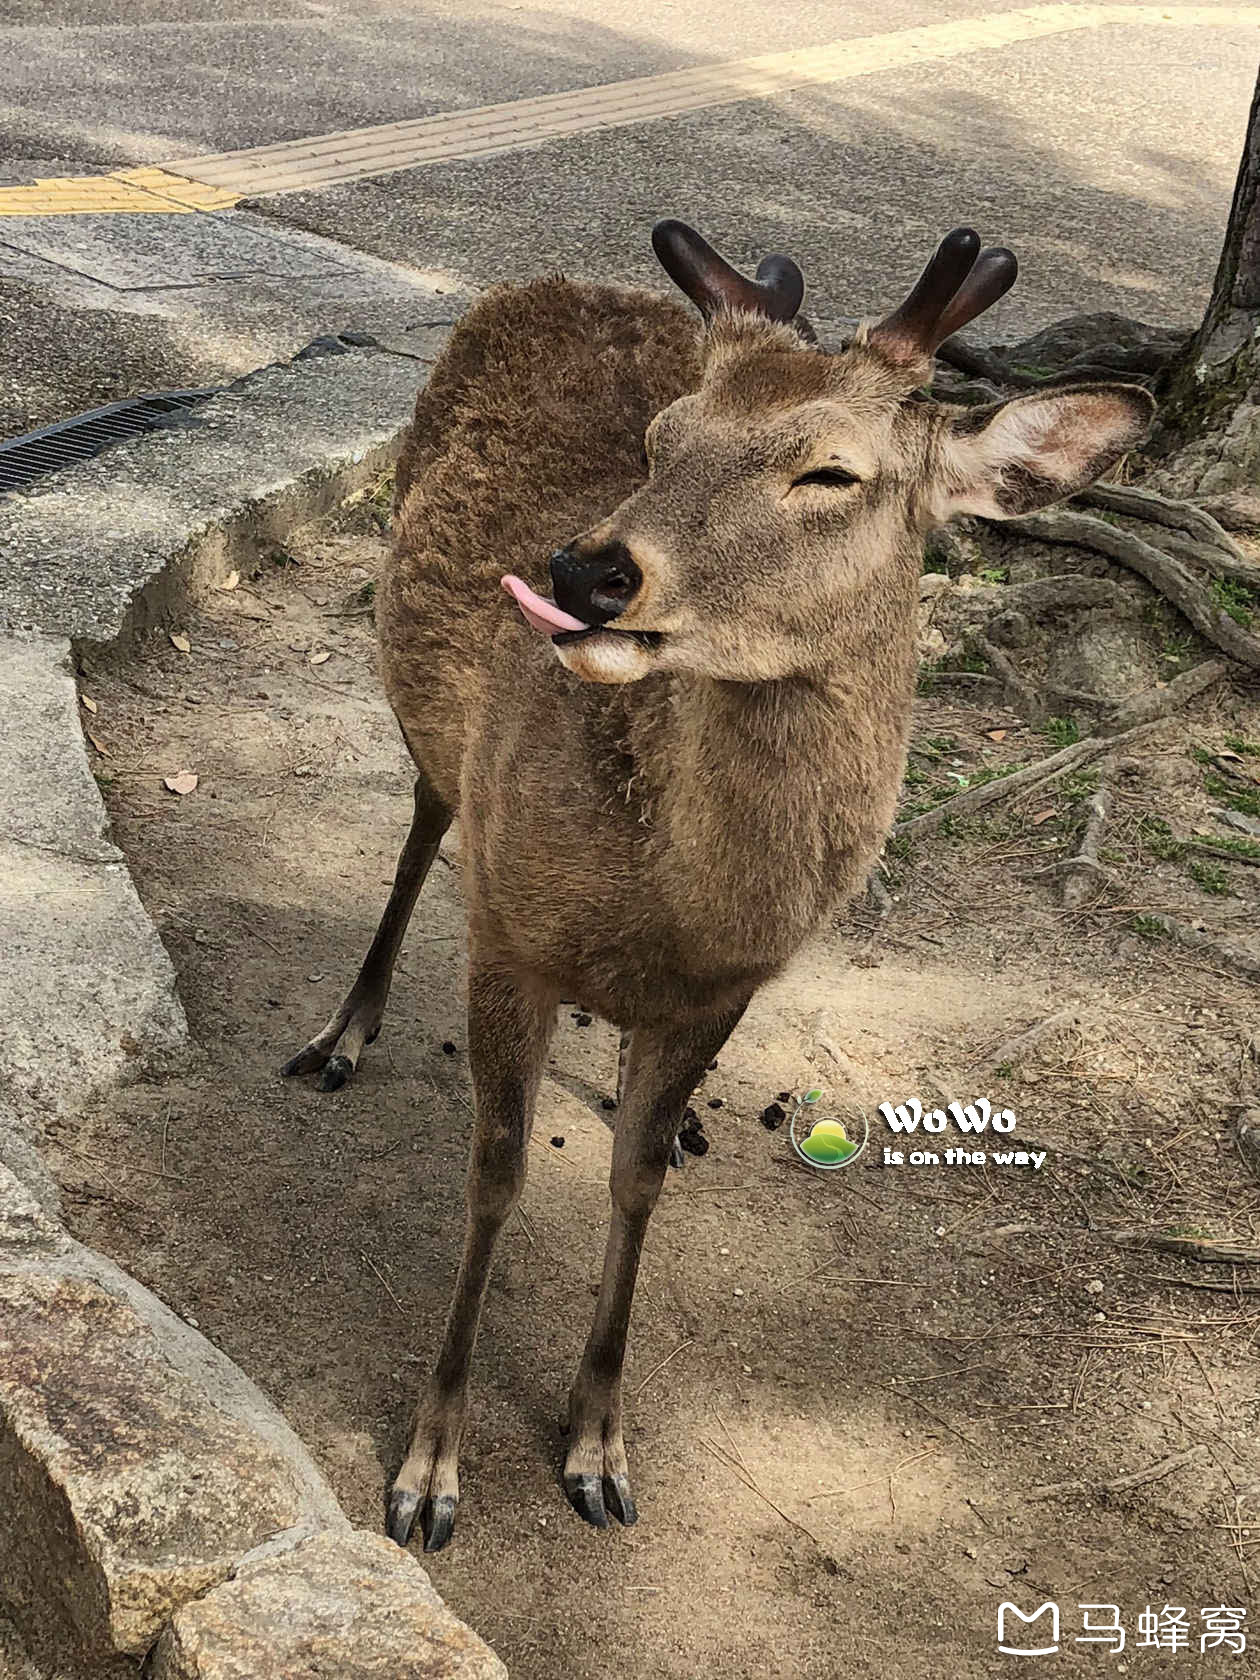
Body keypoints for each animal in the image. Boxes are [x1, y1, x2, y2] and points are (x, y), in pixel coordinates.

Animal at [283, 220, 1155, 1545]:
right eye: (660, 439)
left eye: (831, 473)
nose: (586, 572)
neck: (673, 912)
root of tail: (556, 279)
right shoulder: (511, 940)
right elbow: (494, 1174)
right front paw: (429, 1471)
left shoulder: (726, 990)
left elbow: (635, 1184)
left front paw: (597, 1446)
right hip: (429, 718)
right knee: (427, 817)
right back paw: (346, 1029)